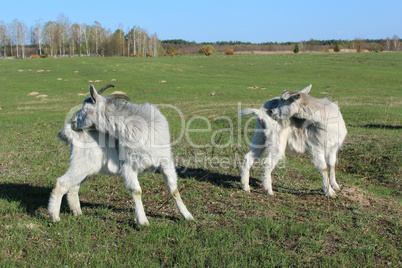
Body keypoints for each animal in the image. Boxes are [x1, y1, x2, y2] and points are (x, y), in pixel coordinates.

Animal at [48, 85, 193, 225]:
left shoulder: (165, 163)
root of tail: (70, 133)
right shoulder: (129, 166)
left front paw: (187, 215)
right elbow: (137, 191)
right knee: (62, 183)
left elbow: (174, 190)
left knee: (74, 186)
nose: (72, 121)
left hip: (86, 168)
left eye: (84, 107)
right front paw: (143, 221)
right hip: (81, 163)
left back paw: (77, 212)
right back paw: (54, 217)